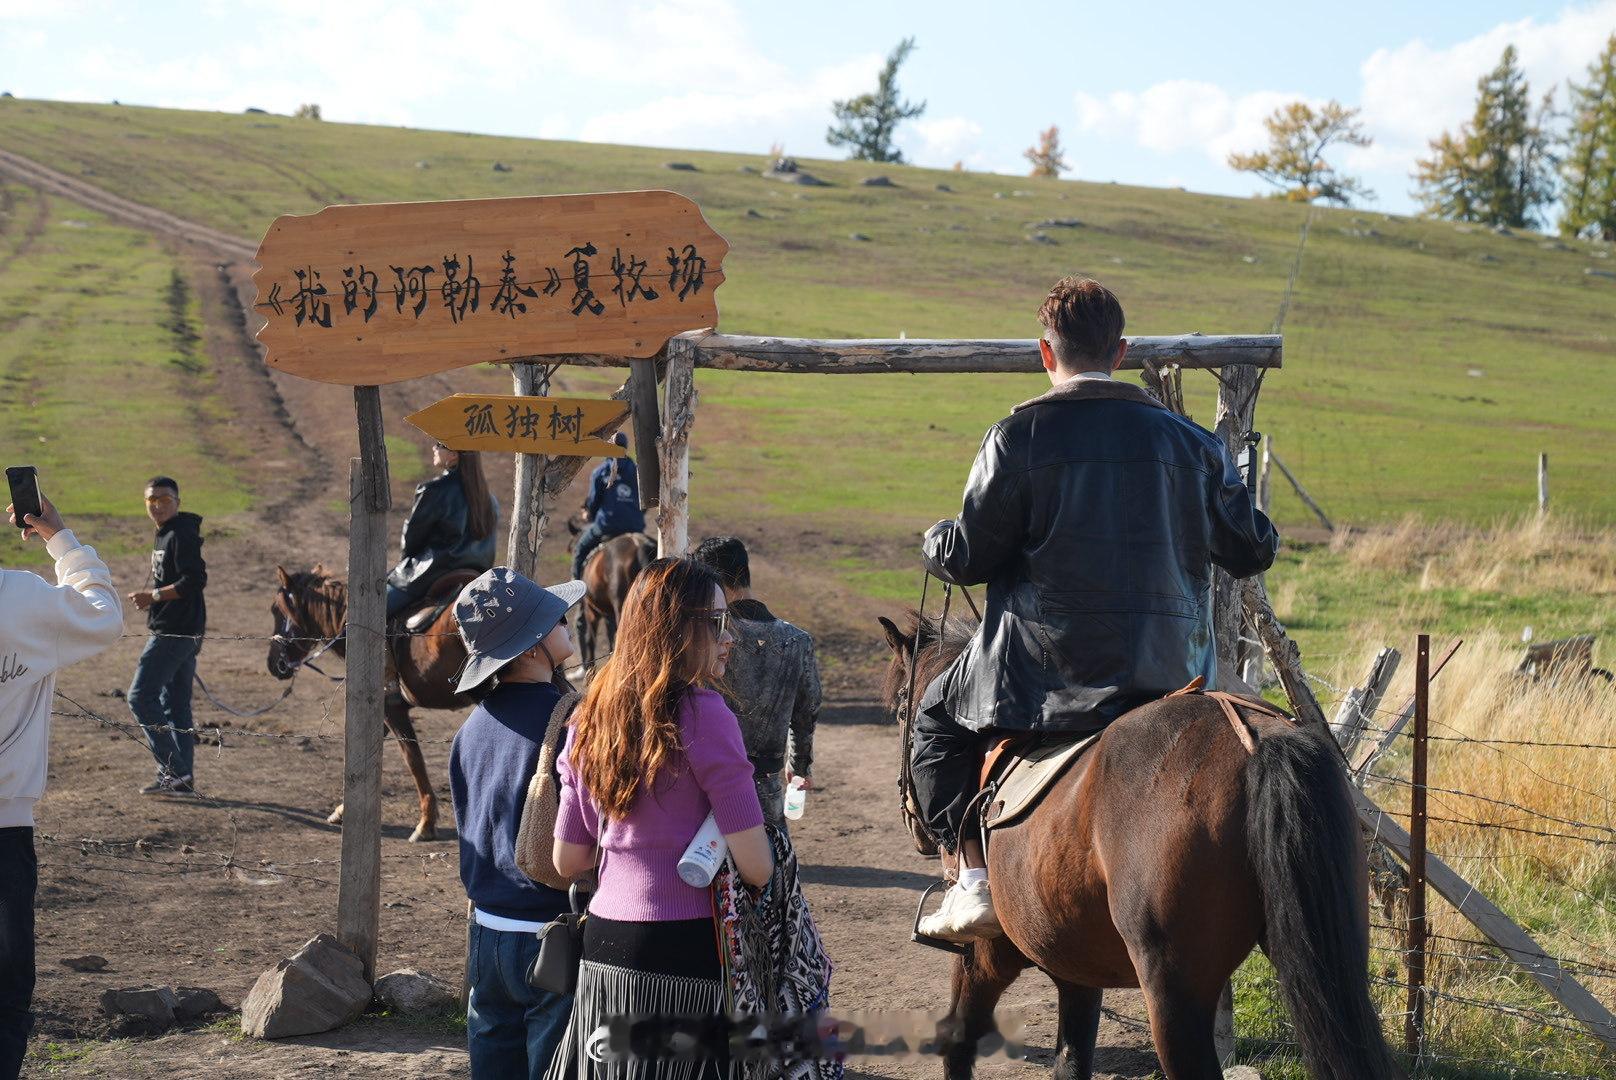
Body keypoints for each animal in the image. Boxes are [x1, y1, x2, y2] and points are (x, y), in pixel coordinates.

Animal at [266, 565, 471, 840]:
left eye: (277, 610)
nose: (273, 664)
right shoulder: (383, 708)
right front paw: (343, 809)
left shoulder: (391, 708)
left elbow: (413, 759)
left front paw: (426, 823)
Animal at [879, 614, 1396, 1080]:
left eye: (904, 712)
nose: (912, 822)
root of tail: (1252, 737)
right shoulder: (1076, 967)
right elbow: (1071, 1061)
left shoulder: (987, 955)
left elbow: (958, 1043)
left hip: (1173, 993)